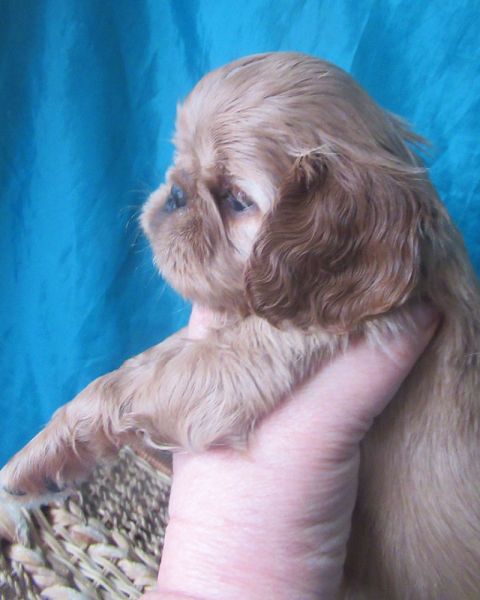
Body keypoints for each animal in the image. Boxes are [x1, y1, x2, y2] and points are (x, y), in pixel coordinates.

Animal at [2, 52, 480, 598]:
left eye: (235, 199)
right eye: (180, 161)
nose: (176, 192)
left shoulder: (245, 362)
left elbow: (123, 384)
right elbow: (137, 365)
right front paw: (43, 461)